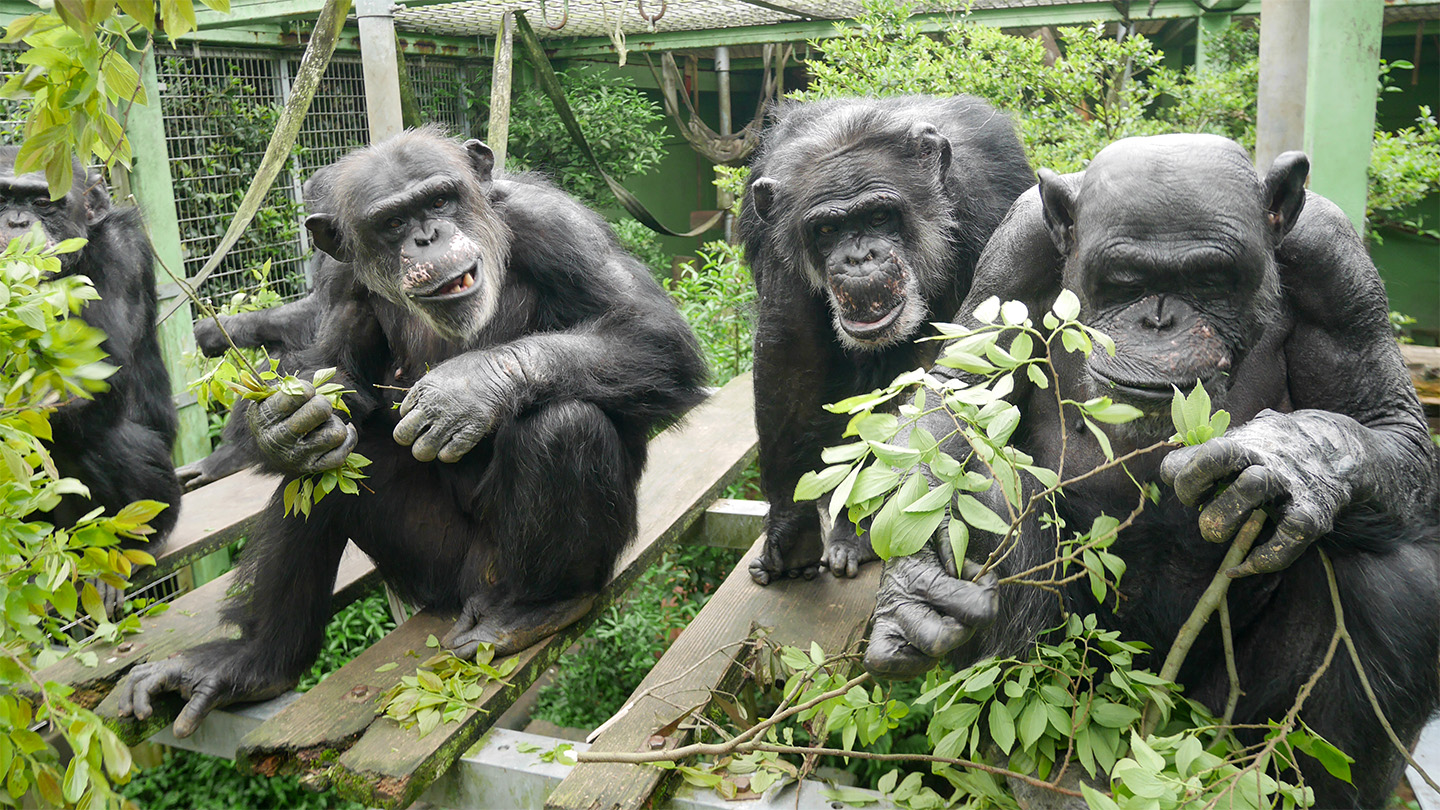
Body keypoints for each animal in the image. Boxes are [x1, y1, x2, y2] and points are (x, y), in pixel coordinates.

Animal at [0, 146, 182, 547]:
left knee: (105, 441)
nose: (16, 222)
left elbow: (85, 376)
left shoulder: (119, 251)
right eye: (0, 199)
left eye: (43, 202)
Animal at [119, 127, 708, 737]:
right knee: (325, 474)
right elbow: (332, 372)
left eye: (440, 200)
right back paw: (254, 661)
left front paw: (468, 388)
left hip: (505, 570)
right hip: (432, 569)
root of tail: (472, 592)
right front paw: (279, 423)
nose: (428, 236)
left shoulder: (557, 225)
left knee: (566, 424)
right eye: (393, 222)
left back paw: (536, 608)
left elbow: (654, 333)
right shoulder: (338, 277)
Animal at [743, 98, 1036, 582]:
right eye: (827, 230)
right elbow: (789, 349)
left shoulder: (988, 203)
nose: (860, 257)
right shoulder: (775, 238)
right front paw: (791, 528)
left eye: (879, 216)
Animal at [864, 134, 1440, 807]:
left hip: (1215, 719)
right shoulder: (1016, 248)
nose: (1160, 319)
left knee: (1392, 579)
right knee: (995, 498)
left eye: (1210, 280)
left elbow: (1387, 422)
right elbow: (960, 394)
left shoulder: (1336, 265)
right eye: (1125, 282)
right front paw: (913, 585)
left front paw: (1288, 456)